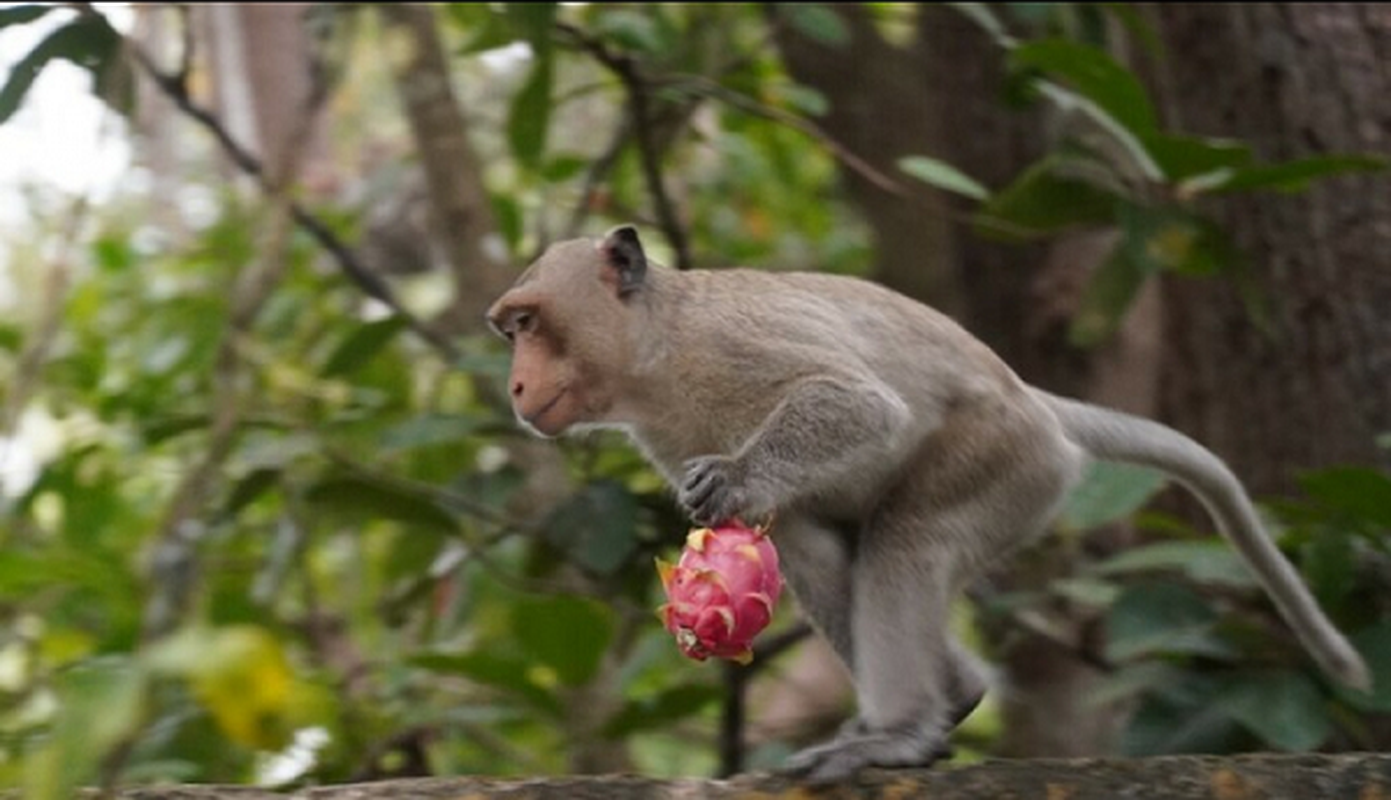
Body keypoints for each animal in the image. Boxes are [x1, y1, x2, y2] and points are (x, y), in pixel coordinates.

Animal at [486, 224, 1368, 784]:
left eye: (528, 322)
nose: (516, 387)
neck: (655, 354)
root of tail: (1032, 401)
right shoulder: (660, 433)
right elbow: (786, 526)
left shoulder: (731, 347)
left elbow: (861, 406)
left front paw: (737, 479)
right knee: (819, 547)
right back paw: (951, 695)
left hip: (1007, 464)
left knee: (907, 538)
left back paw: (900, 733)